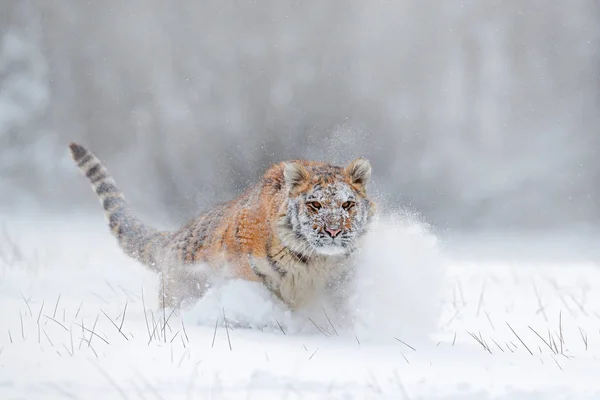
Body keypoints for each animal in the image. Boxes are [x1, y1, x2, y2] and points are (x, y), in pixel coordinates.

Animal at [69, 142, 376, 310]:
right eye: (315, 205)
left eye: (347, 204)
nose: (334, 231)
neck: (313, 261)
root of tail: (176, 236)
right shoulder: (249, 275)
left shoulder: (339, 283)